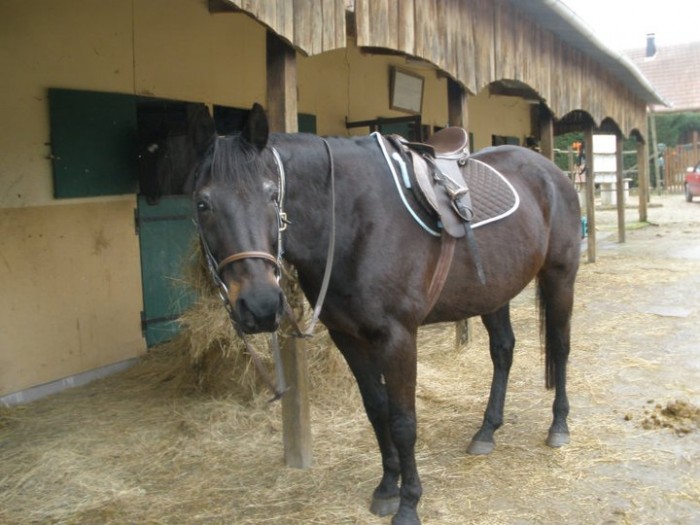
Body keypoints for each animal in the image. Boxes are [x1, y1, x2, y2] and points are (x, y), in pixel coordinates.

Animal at [192, 104, 581, 525]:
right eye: (202, 203)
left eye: (271, 194)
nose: (260, 305)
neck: (350, 219)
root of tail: (550, 170)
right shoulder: (347, 337)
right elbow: (377, 410)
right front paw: (386, 489)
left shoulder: (398, 337)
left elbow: (403, 421)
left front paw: (409, 503)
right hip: (493, 293)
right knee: (503, 351)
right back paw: (486, 432)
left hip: (560, 277)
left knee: (560, 347)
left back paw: (559, 426)